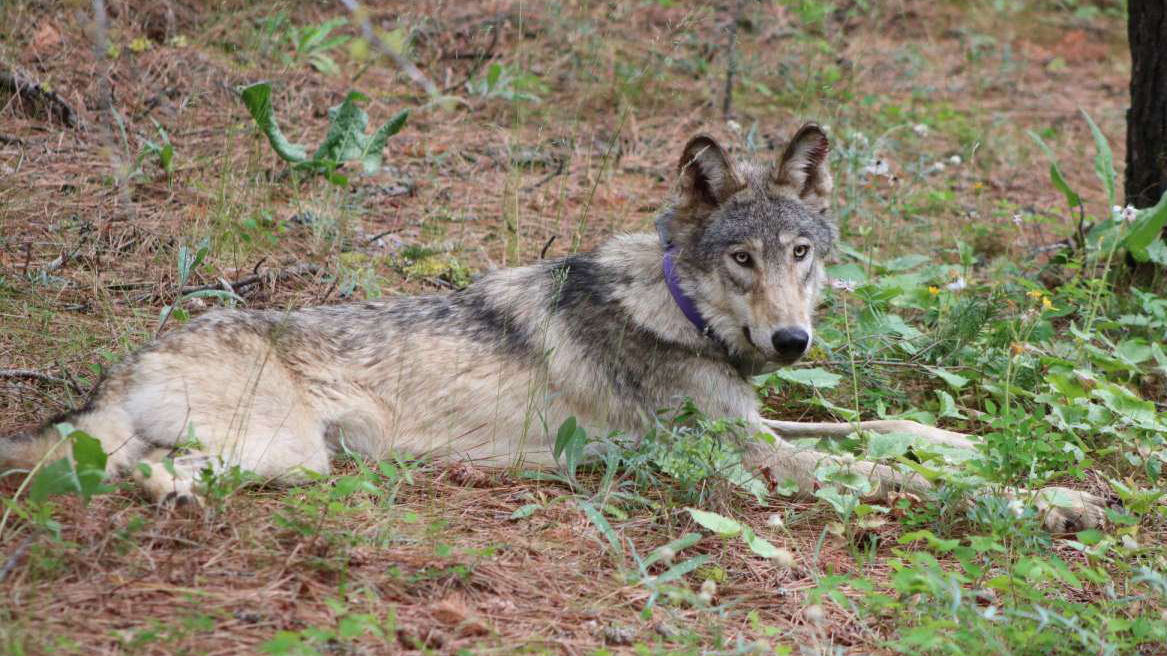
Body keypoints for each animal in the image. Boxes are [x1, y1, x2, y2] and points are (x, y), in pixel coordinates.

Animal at [2, 123, 1107, 532]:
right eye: (741, 260)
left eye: (801, 252)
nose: (792, 343)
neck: (677, 309)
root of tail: (134, 355)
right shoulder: (744, 462)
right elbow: (887, 474)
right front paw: (1050, 496)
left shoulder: (755, 425)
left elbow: (889, 430)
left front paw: (973, 445)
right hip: (282, 453)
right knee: (128, 471)